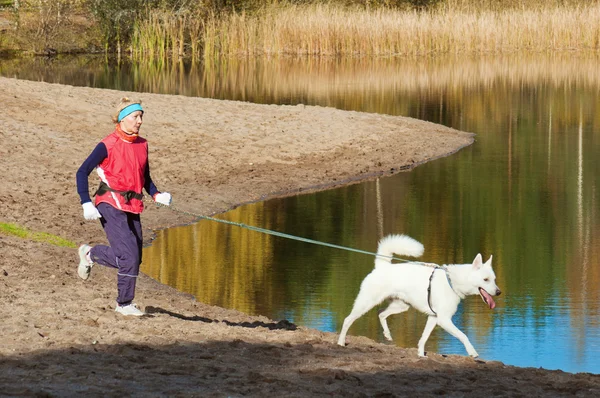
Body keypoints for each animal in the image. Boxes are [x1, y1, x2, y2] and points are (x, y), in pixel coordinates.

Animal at [338, 233, 502, 358]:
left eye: (494, 279)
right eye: (485, 280)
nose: (498, 292)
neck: (452, 281)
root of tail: (382, 266)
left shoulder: (433, 317)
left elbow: (423, 338)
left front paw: (421, 355)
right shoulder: (444, 320)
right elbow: (463, 335)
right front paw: (472, 352)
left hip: (401, 306)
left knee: (381, 313)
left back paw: (387, 334)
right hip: (366, 302)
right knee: (347, 320)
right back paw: (340, 342)